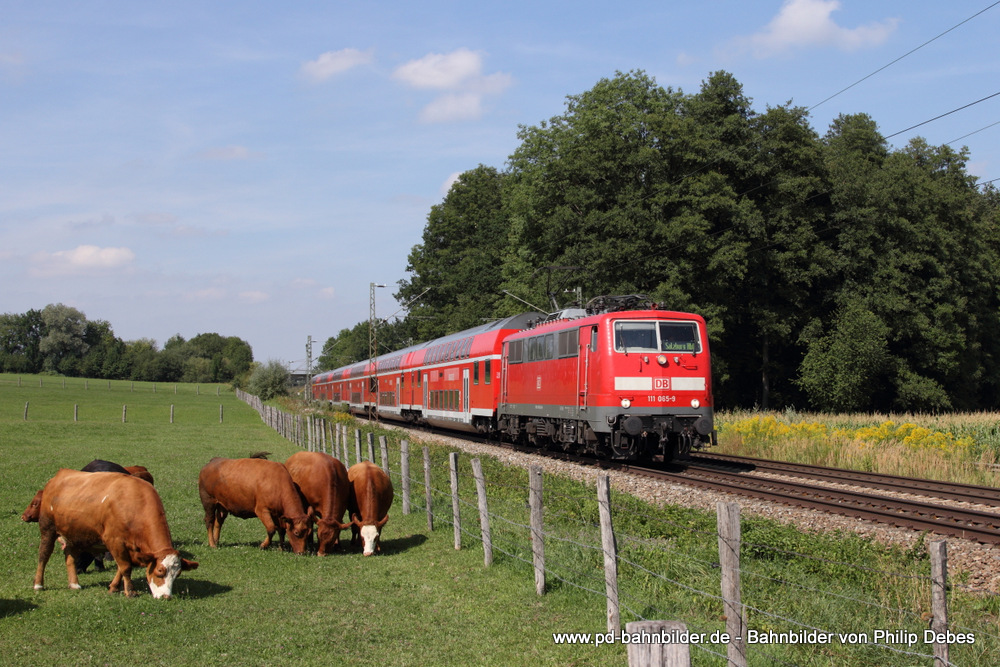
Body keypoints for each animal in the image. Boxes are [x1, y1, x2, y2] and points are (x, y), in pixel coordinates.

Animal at [32, 470, 196, 600]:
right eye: (160, 571)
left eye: (177, 574)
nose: (166, 597)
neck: (133, 504)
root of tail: (58, 476)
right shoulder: (114, 541)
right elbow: (126, 567)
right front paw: (130, 592)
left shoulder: (129, 548)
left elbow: (122, 567)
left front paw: (114, 587)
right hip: (47, 529)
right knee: (43, 555)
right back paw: (38, 584)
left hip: (74, 534)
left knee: (70, 557)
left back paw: (74, 584)